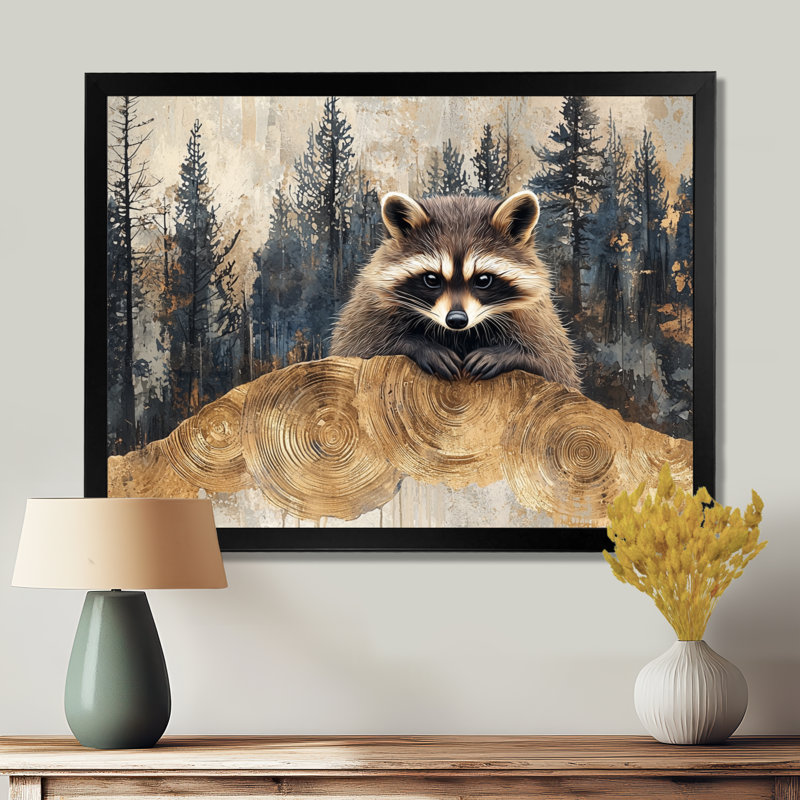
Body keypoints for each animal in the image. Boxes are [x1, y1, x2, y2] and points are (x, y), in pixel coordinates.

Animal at [330, 190, 580, 388]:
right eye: (432, 279)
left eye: (483, 280)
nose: (457, 320)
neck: (457, 334)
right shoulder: (371, 307)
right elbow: (359, 346)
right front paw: (422, 345)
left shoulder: (534, 317)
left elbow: (554, 364)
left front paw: (506, 353)